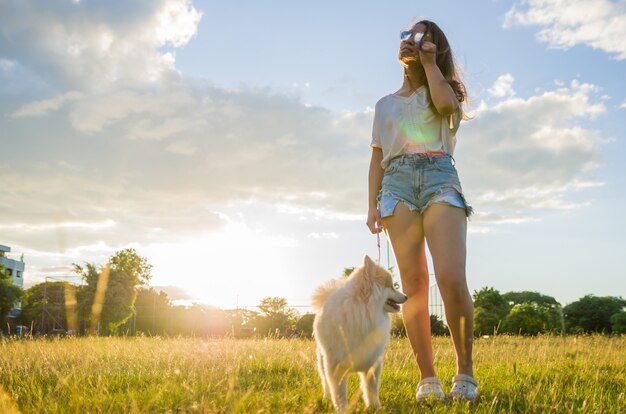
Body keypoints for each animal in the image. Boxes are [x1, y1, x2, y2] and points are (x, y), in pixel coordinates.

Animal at [310, 254, 408, 410]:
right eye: (391, 287)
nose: (406, 296)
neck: (363, 312)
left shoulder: (372, 361)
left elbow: (371, 388)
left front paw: (375, 407)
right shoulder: (335, 365)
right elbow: (339, 392)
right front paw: (342, 409)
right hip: (322, 360)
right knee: (325, 382)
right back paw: (326, 398)